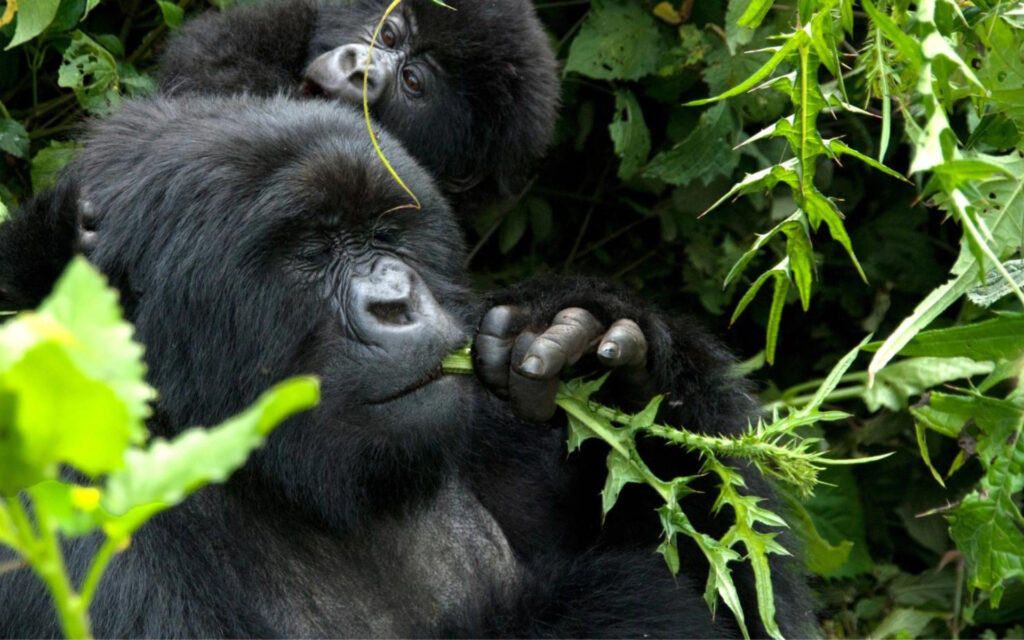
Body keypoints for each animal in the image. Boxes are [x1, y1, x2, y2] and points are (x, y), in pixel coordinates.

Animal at [2, 94, 815, 634]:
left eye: (386, 233)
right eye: (311, 248)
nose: (397, 301)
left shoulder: (484, 412)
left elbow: (748, 602)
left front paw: (610, 353)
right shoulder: (58, 510)